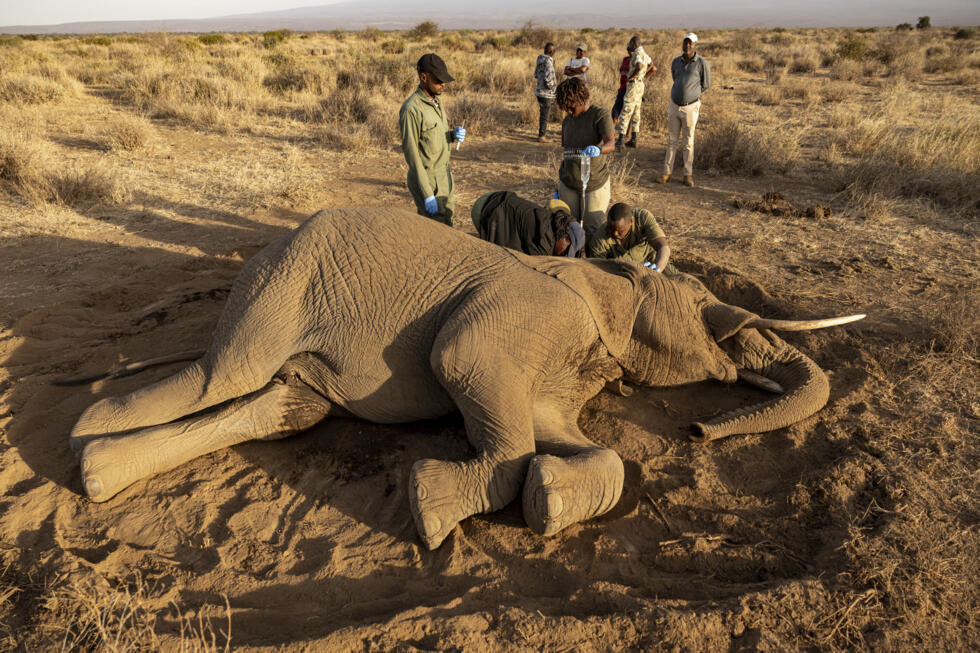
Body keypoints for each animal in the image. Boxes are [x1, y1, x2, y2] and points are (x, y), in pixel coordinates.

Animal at [69, 208, 863, 550]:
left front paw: (549, 497)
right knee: (219, 375)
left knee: (281, 407)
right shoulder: (527, 315)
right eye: (703, 306)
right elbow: (462, 362)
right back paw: (85, 428)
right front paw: (430, 509)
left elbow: (571, 440)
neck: (600, 276)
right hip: (282, 281)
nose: (699, 427)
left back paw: (99, 473)